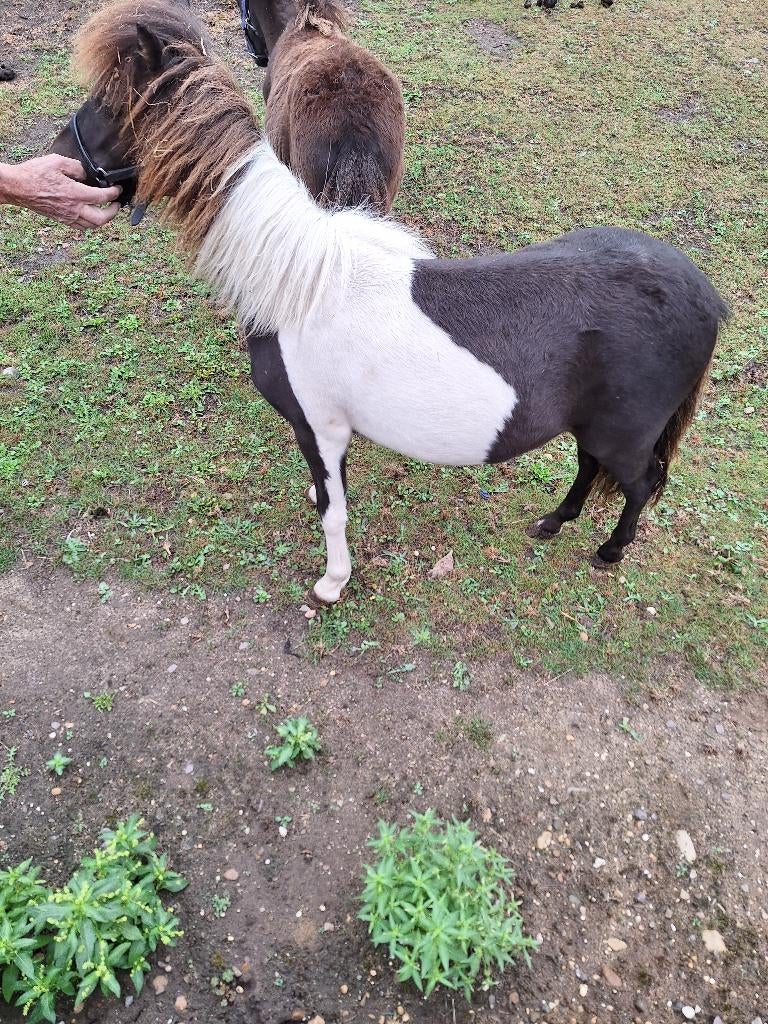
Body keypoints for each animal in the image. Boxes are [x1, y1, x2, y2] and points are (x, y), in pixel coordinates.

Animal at [51, 0, 728, 608]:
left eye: (111, 101)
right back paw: (552, 522)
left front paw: (333, 582)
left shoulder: (318, 426)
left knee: (638, 483)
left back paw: (609, 550)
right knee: (591, 468)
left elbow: (333, 512)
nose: (61, 157)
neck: (297, 279)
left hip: (626, 433)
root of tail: (705, 296)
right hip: (594, 425)